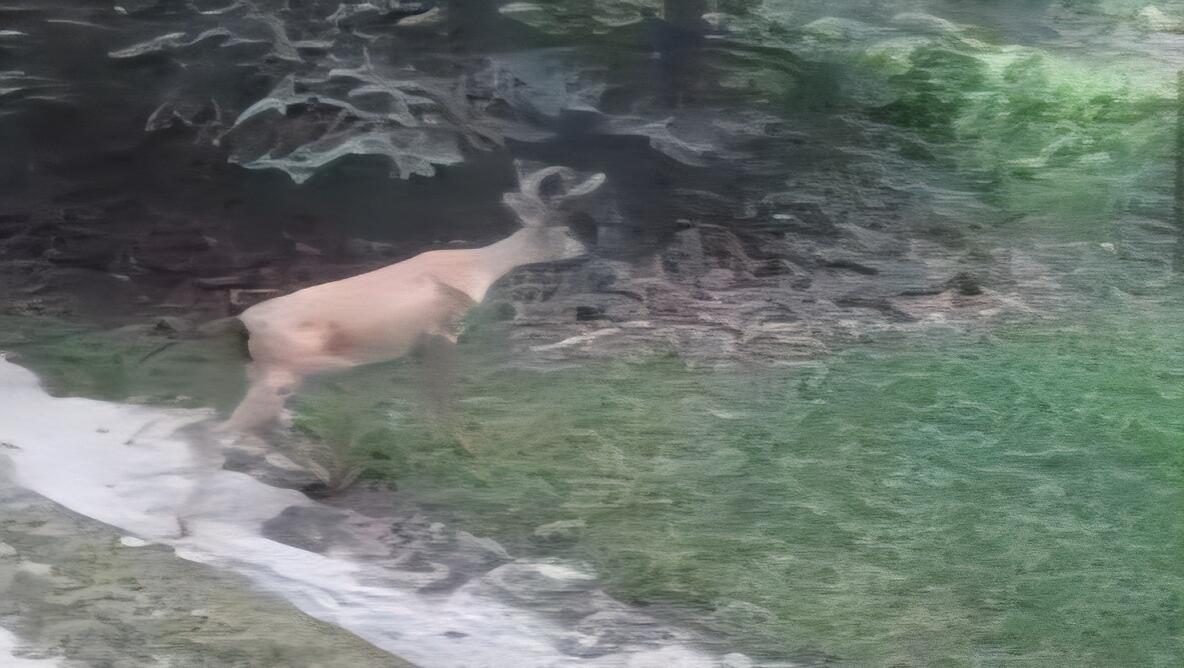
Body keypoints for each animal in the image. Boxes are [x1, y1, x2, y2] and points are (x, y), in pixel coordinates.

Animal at [224, 164, 605, 432]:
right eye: (566, 229)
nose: (592, 247)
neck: (477, 266)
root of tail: (247, 325)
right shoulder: (444, 325)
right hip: (297, 367)